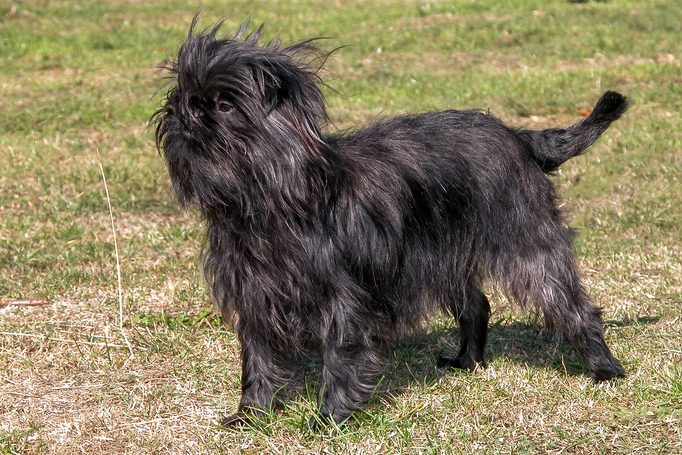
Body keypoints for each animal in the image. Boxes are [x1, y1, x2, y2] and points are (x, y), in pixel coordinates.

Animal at [151, 15, 624, 428]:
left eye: (223, 104)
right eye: (180, 98)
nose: (185, 114)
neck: (272, 201)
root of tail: (519, 137)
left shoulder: (342, 299)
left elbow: (340, 354)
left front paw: (330, 418)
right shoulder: (254, 295)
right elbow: (259, 359)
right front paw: (252, 414)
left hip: (529, 248)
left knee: (574, 306)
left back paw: (605, 369)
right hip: (446, 256)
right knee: (477, 305)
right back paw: (466, 361)